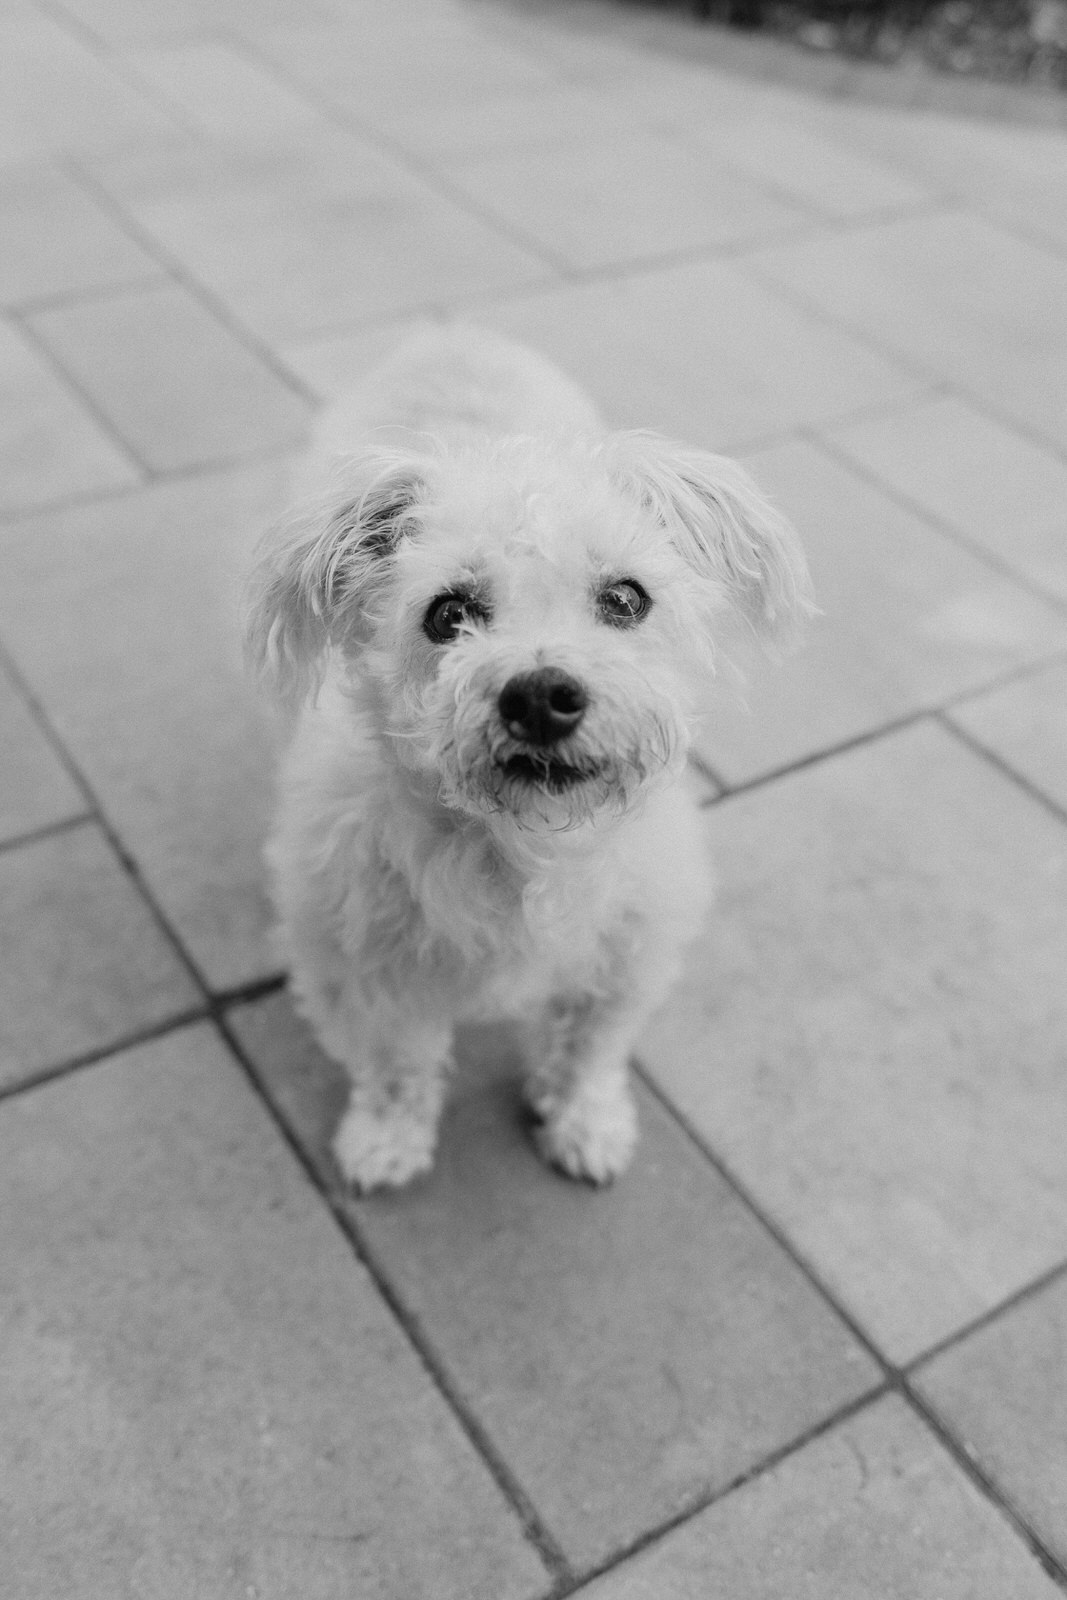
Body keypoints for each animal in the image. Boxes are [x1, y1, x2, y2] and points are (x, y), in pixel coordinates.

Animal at [244, 324, 809, 1190]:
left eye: (625, 598)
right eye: (447, 615)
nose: (541, 695)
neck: (523, 848)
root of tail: (457, 336)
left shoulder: (623, 961)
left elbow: (587, 1054)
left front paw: (584, 1125)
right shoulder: (360, 970)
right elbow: (395, 1066)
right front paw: (385, 1141)